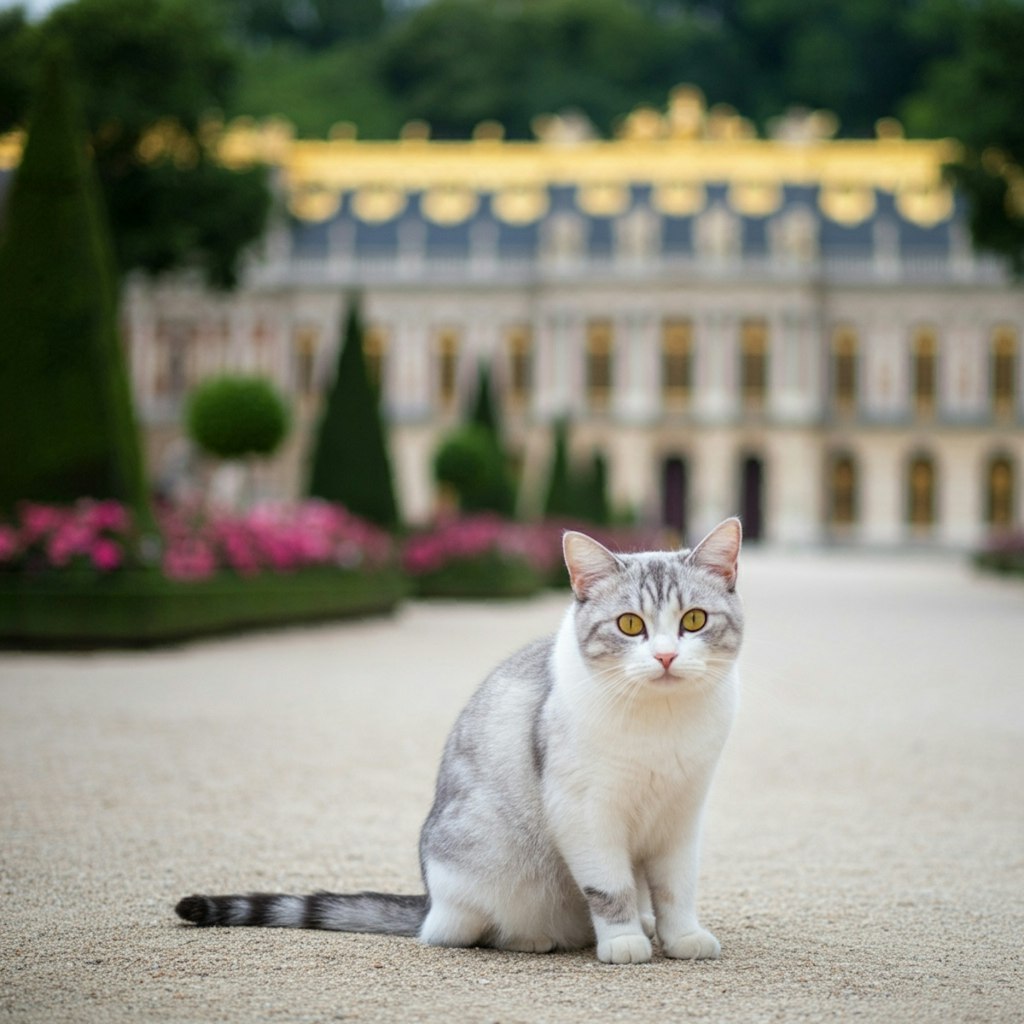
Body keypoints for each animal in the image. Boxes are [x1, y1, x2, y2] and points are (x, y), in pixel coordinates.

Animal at [176, 516, 745, 962]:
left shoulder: (682, 812)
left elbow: (675, 887)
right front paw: (624, 941)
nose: (666, 656)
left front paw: (681, 937)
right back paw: (533, 938)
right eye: (629, 625)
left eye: (694, 620)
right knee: (465, 933)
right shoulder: (586, 812)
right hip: (483, 881)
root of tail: (431, 902)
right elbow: (610, 888)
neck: (660, 721)